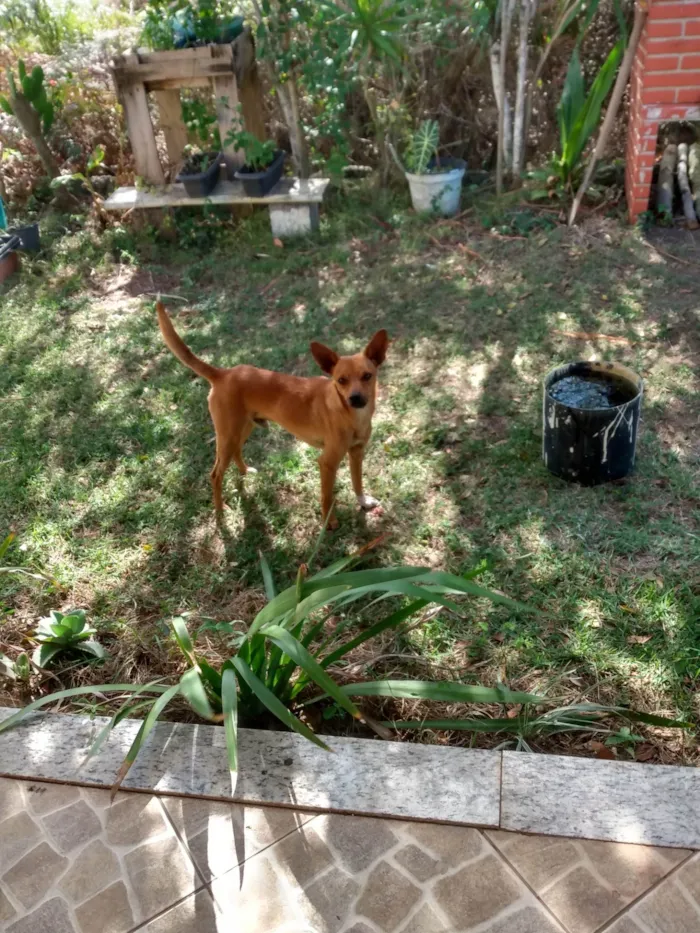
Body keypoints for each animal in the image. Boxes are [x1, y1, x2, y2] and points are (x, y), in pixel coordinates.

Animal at [156, 302, 388, 528]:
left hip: (243, 428)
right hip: (228, 434)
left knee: (237, 451)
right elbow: (327, 497)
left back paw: (244, 472)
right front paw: (328, 522)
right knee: (215, 475)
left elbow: (357, 481)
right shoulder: (327, 463)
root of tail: (223, 373)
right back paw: (221, 513)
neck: (351, 415)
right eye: (341, 380)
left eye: (367, 376)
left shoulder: (357, 452)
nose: (355, 398)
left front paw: (363, 502)